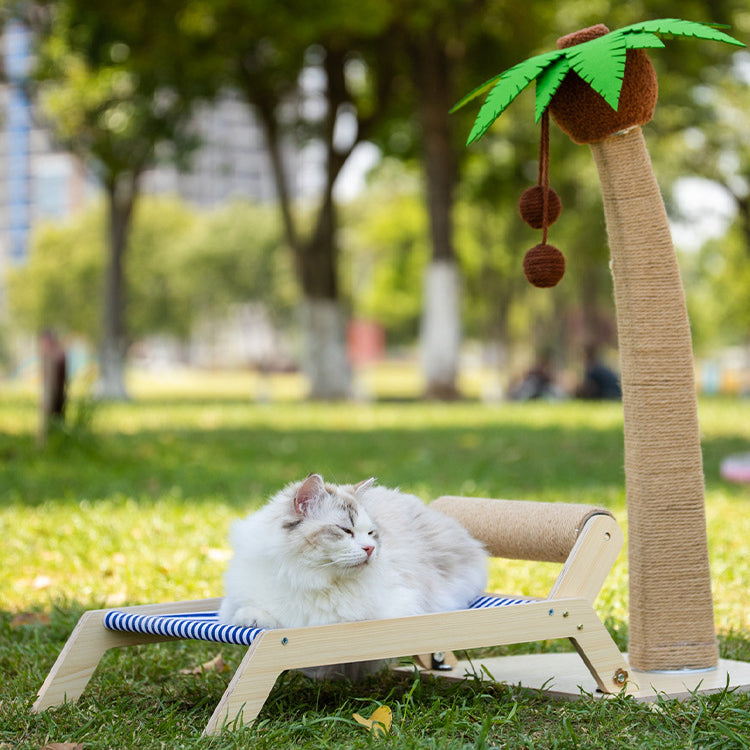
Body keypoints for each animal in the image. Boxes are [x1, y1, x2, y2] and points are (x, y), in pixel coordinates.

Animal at [219, 476, 488, 628]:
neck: (298, 574)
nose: (370, 548)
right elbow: (245, 613)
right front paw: (252, 619)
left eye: (370, 533)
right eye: (346, 530)